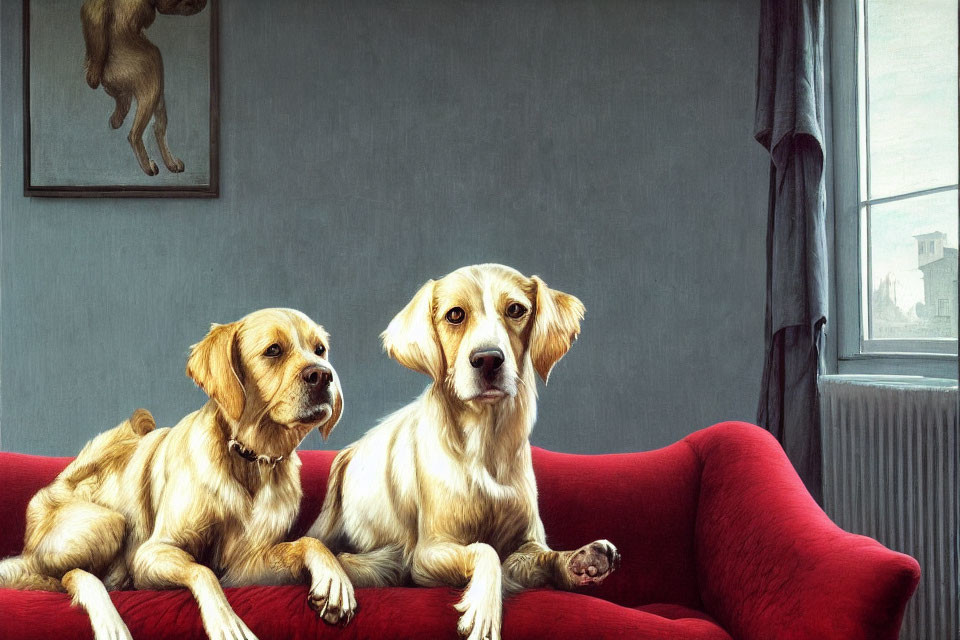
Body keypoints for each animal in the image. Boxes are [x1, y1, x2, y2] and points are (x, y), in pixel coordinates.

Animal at [0, 308, 360, 640]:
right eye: (273, 350)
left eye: (320, 350)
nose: (324, 375)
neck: (249, 459)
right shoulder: (150, 555)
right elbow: (202, 570)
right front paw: (228, 623)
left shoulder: (244, 566)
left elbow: (308, 542)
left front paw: (334, 580)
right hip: (107, 522)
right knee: (68, 576)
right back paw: (110, 622)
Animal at [310, 264, 624, 640]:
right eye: (455, 315)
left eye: (515, 309)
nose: (488, 359)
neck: (485, 449)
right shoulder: (428, 554)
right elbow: (485, 551)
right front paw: (484, 614)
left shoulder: (525, 547)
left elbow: (541, 557)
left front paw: (582, 560)